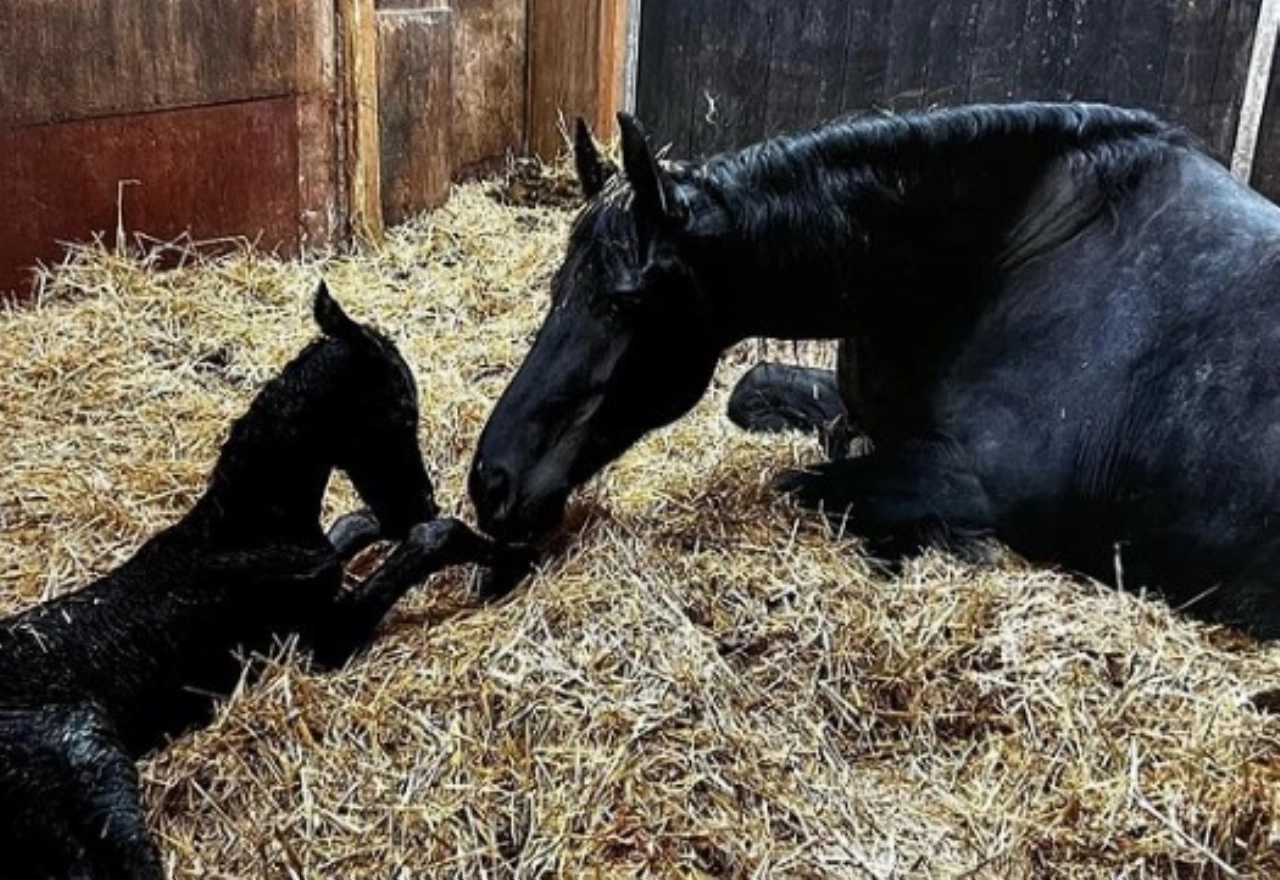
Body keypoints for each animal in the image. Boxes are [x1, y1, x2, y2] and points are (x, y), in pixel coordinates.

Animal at [0, 284, 503, 879]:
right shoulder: (318, 641)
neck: (243, 526)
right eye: (403, 412)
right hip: (86, 753)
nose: (418, 502)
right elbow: (426, 542)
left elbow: (352, 527)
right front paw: (496, 550)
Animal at [469, 102, 1280, 638]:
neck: (997, 264)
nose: (492, 483)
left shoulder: (975, 486)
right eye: (558, 286)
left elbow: (804, 487)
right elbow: (757, 396)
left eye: (623, 303)